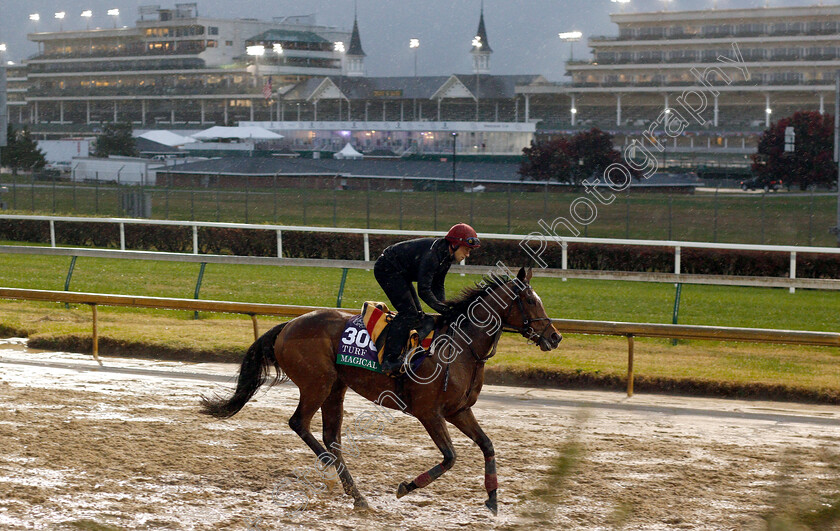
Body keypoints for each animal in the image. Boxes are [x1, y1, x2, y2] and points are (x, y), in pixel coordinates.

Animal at [200, 266, 560, 516]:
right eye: (530, 300)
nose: (554, 336)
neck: (461, 347)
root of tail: (287, 325)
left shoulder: (459, 410)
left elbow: (487, 445)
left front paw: (493, 500)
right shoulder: (428, 413)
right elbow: (450, 457)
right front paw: (406, 487)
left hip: (337, 388)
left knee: (331, 436)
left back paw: (356, 495)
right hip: (318, 383)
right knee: (299, 423)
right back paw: (338, 477)